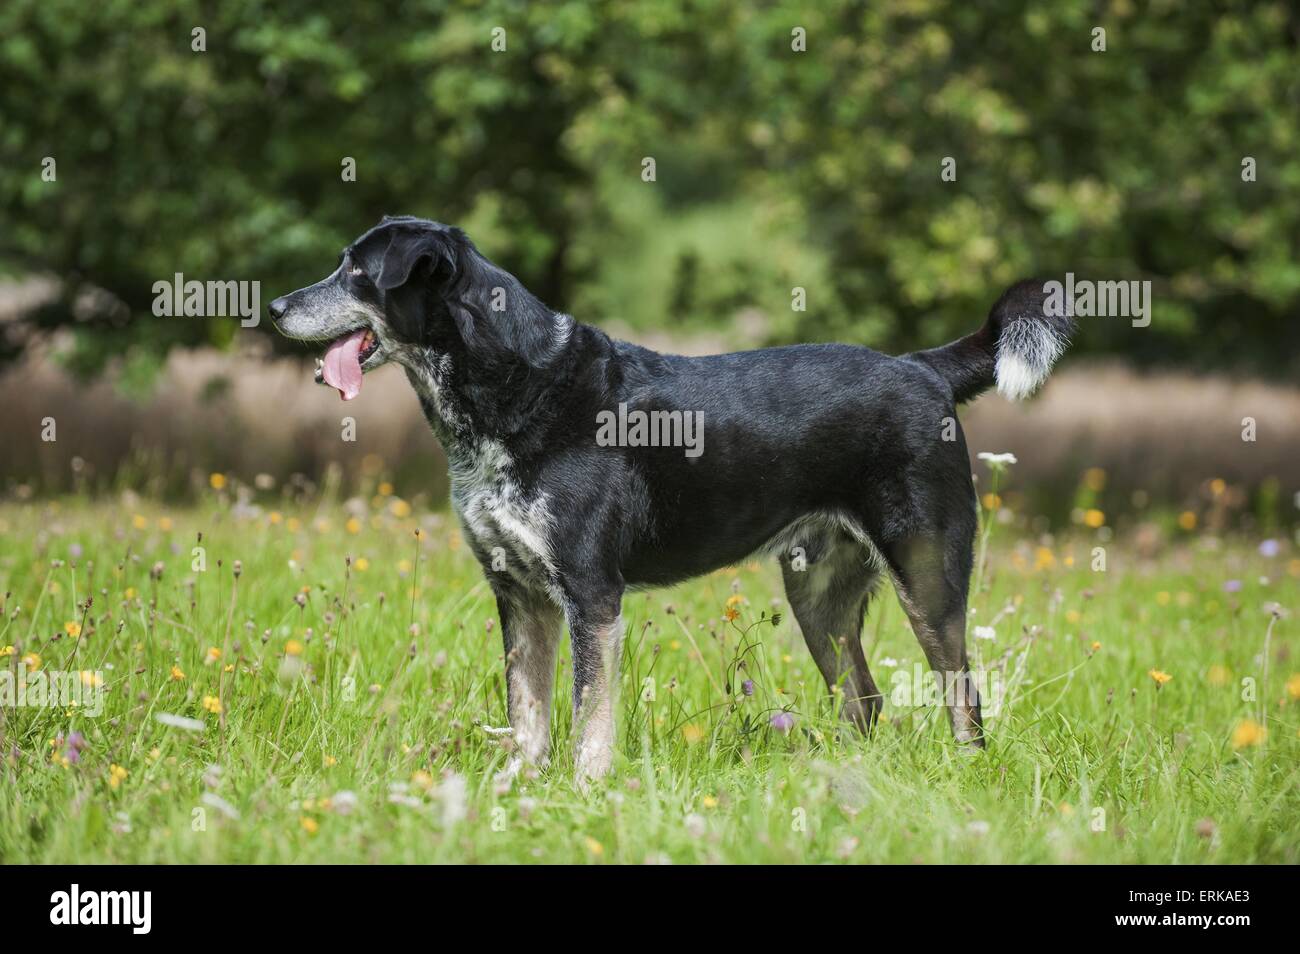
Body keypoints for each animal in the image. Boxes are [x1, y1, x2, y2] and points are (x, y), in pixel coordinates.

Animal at [269, 218, 1071, 785]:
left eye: (357, 272)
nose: (274, 305)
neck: (511, 389)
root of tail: (922, 368)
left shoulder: (591, 594)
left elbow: (589, 716)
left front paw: (586, 794)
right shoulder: (517, 593)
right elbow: (527, 715)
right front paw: (516, 792)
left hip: (927, 575)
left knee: (963, 696)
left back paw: (964, 776)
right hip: (818, 595)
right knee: (865, 702)